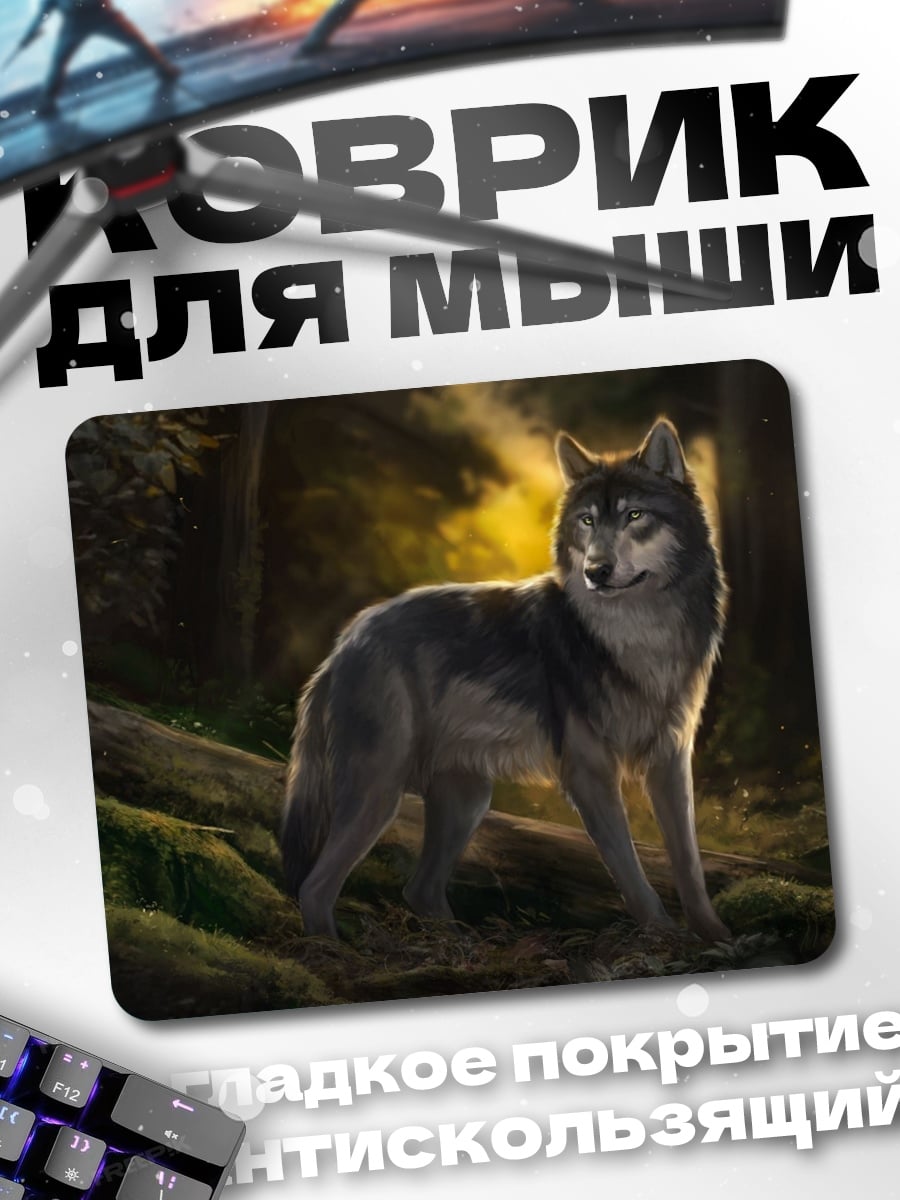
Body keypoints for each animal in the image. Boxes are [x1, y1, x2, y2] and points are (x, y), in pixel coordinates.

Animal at [281, 417, 730, 942]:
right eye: (587, 521)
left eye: (634, 515)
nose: (596, 571)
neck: (638, 638)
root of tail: (340, 648)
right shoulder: (590, 773)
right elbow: (631, 871)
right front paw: (663, 934)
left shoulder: (671, 761)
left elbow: (689, 862)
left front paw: (716, 935)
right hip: (380, 791)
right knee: (315, 886)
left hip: (466, 801)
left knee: (420, 890)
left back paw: (456, 943)